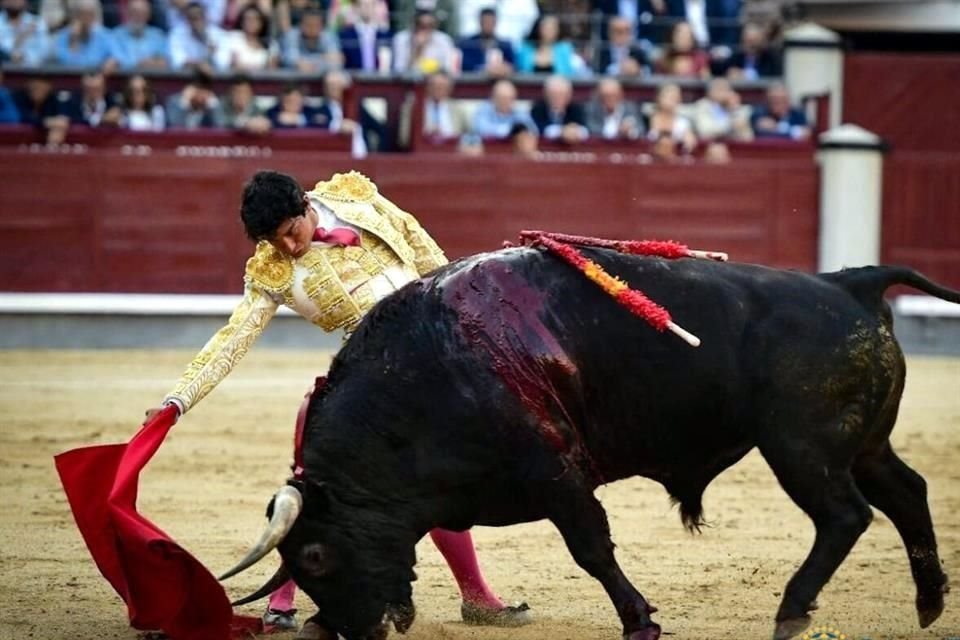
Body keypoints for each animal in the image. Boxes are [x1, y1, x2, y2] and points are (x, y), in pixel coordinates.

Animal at [229, 248, 956, 640]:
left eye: (315, 555)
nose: (364, 629)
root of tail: (846, 282)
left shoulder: (558, 474)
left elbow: (592, 550)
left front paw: (640, 620)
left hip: (802, 447)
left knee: (846, 515)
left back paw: (792, 610)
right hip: (860, 445)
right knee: (906, 492)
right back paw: (928, 603)